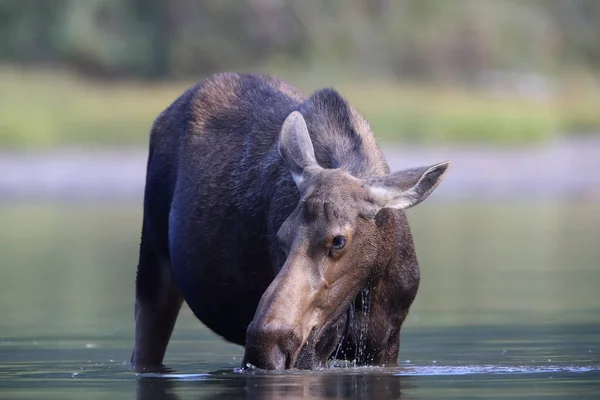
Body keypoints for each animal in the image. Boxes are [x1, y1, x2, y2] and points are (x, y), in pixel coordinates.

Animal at [131, 72, 450, 368]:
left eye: (338, 240)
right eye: (282, 235)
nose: (264, 347)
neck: (366, 290)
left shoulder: (385, 344)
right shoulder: (312, 350)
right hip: (152, 269)